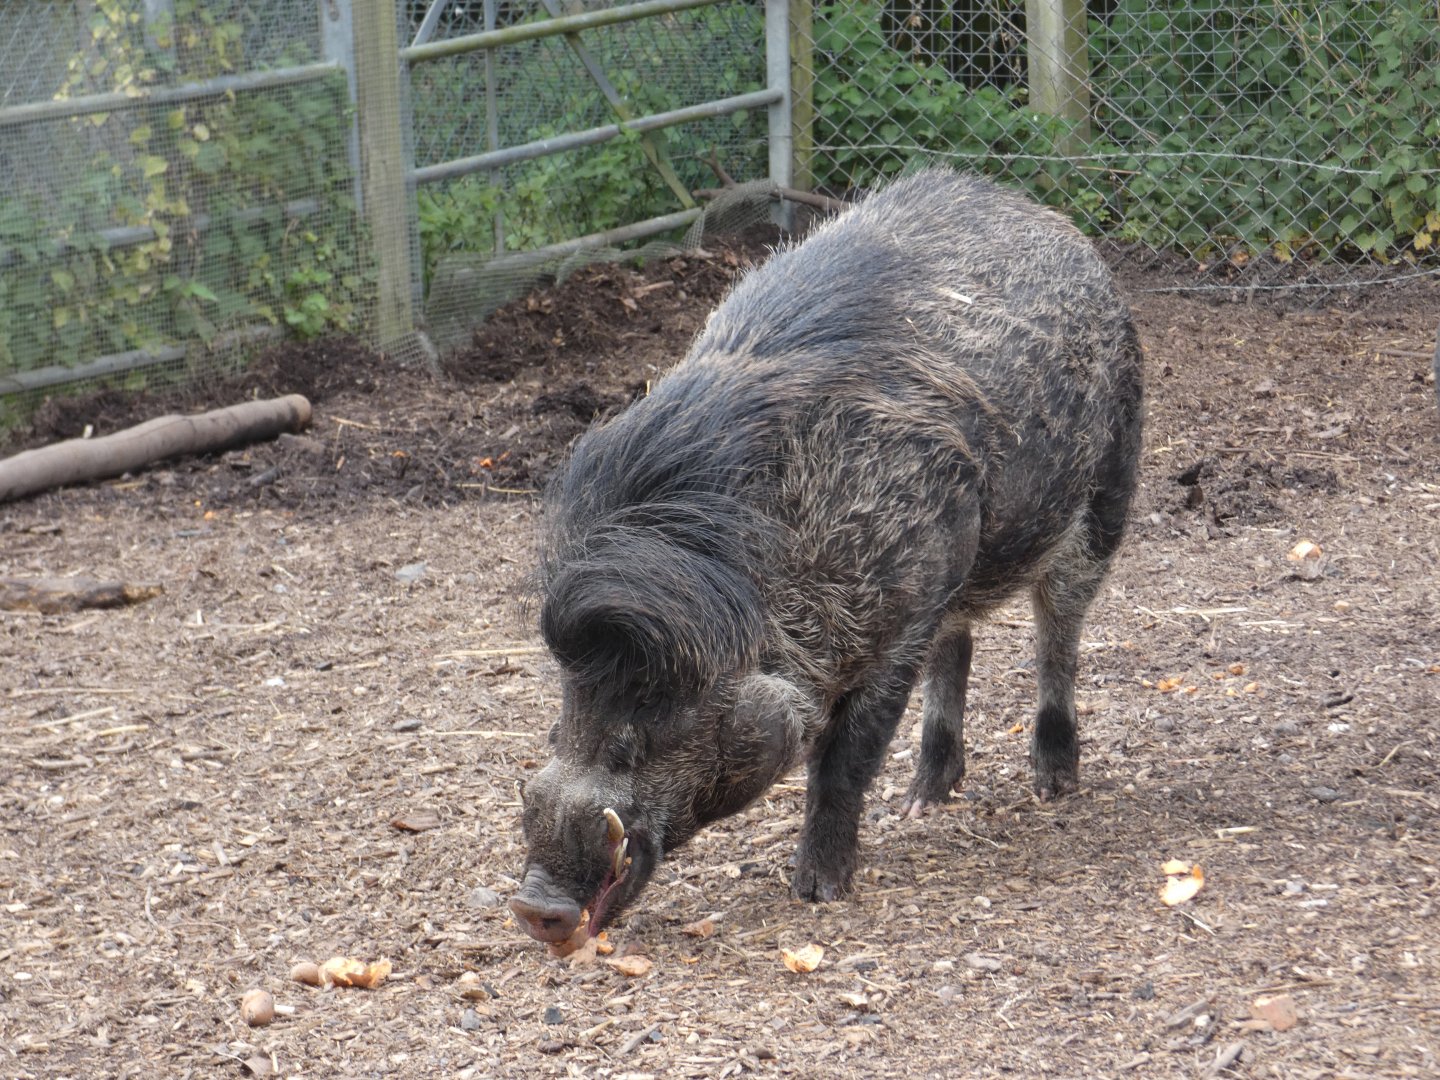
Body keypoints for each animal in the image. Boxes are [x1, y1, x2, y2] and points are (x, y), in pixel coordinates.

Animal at [508, 168, 1143, 944]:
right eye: (560, 720)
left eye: (645, 728)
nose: (537, 907)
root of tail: (1054, 226)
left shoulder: (897, 621)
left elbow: (843, 759)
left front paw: (817, 891)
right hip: (964, 565)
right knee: (959, 645)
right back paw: (922, 802)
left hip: (1105, 488)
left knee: (1059, 634)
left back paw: (1054, 786)